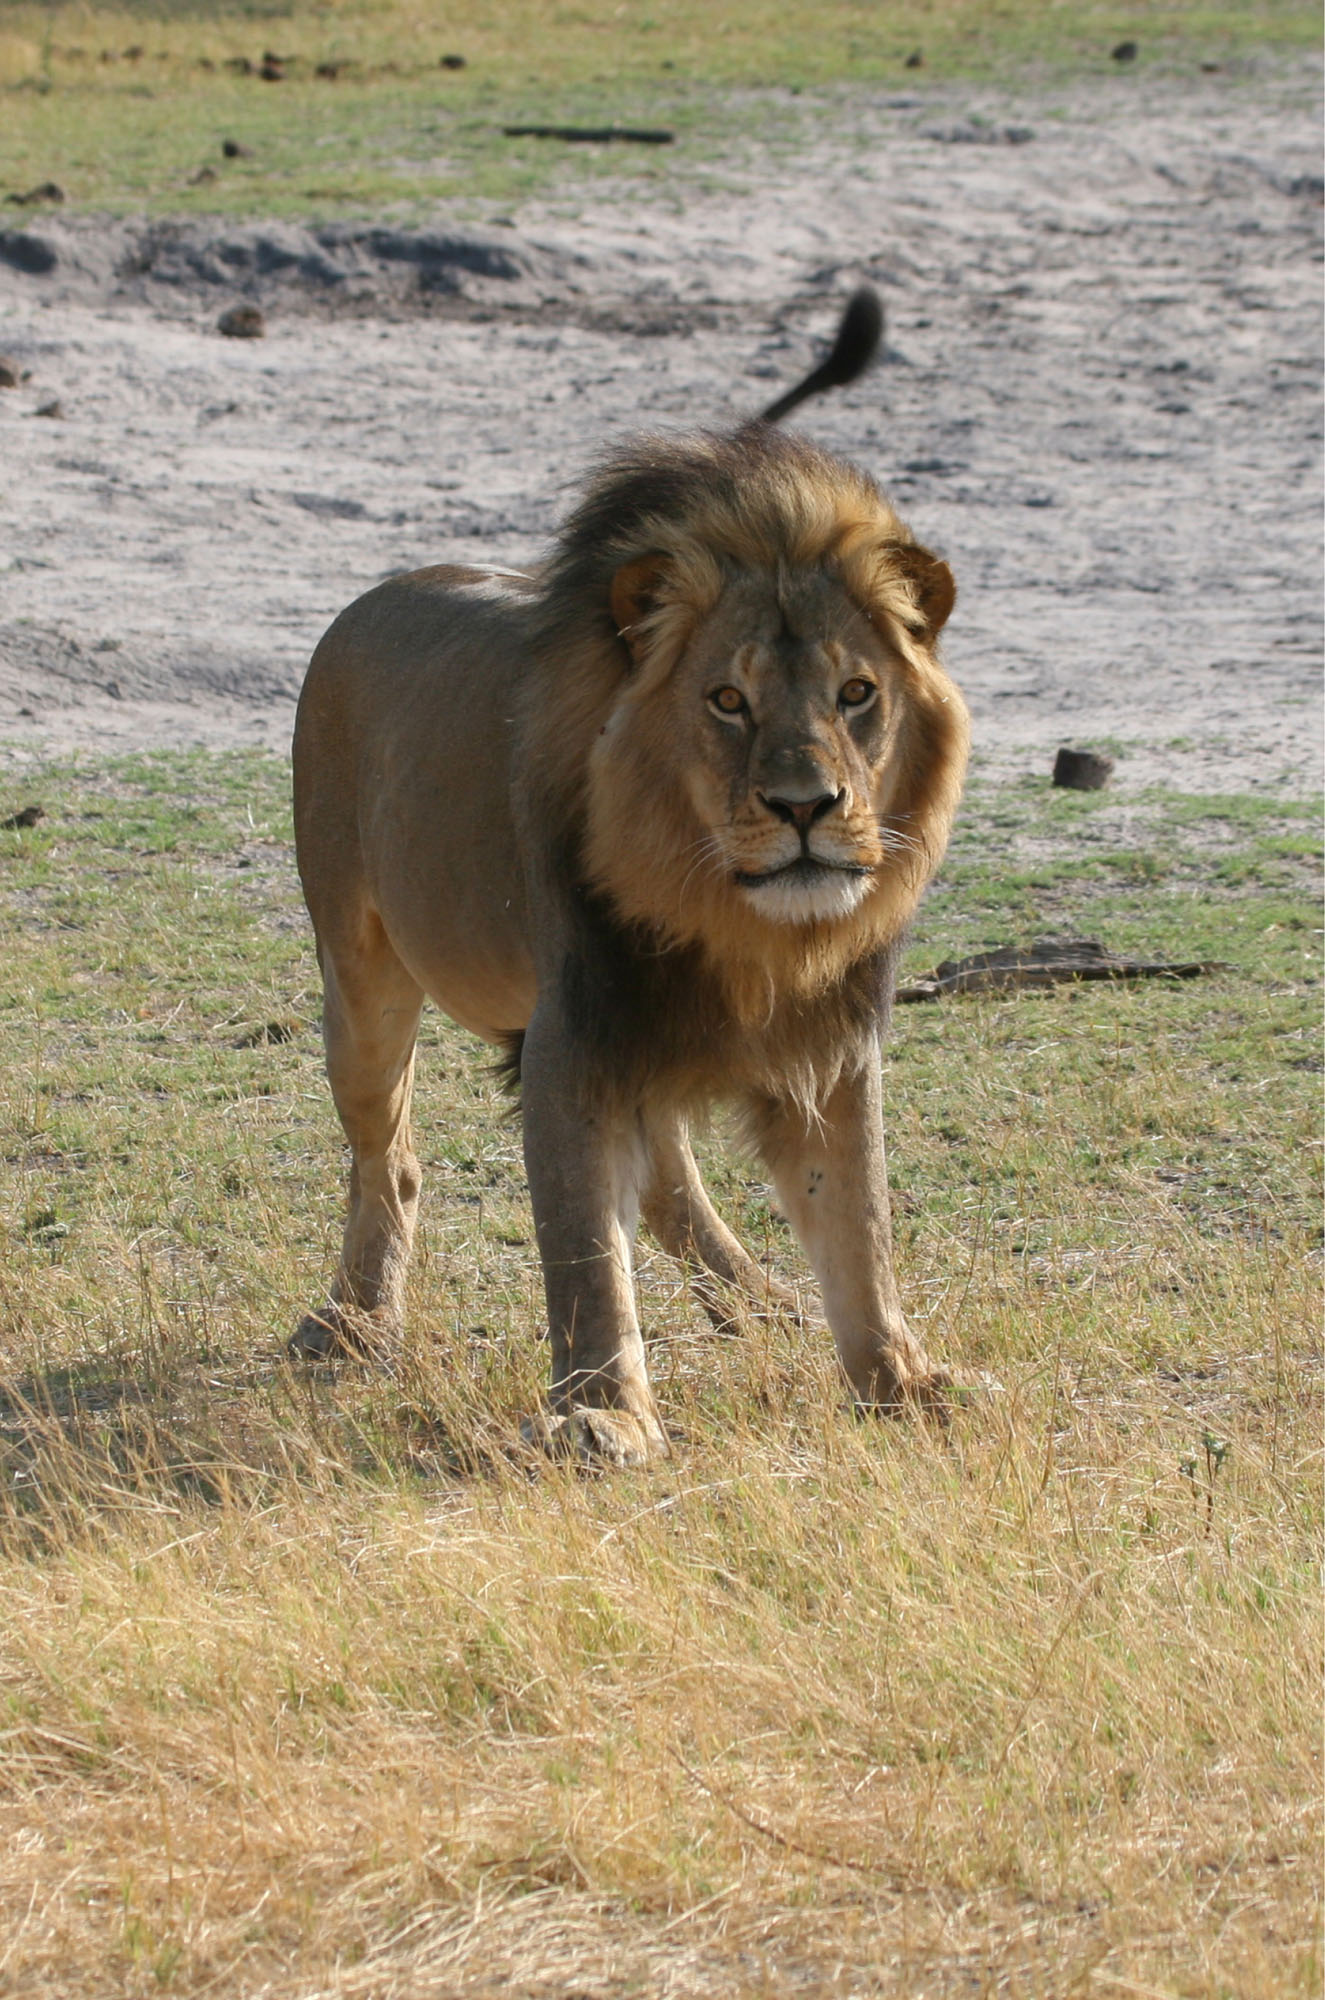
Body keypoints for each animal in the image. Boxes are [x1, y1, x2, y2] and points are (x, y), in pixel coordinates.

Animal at [296, 286, 972, 1472]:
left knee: (664, 1183)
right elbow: (580, 1253)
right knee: (388, 1156)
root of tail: (375, 594)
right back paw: (356, 1323)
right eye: (726, 701)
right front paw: (601, 1411)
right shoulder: (576, 1036)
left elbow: (859, 1224)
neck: (741, 929)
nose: (806, 807)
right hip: (358, 971)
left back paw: (760, 1302)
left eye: (855, 693)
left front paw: (899, 1381)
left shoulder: (828, 1047)